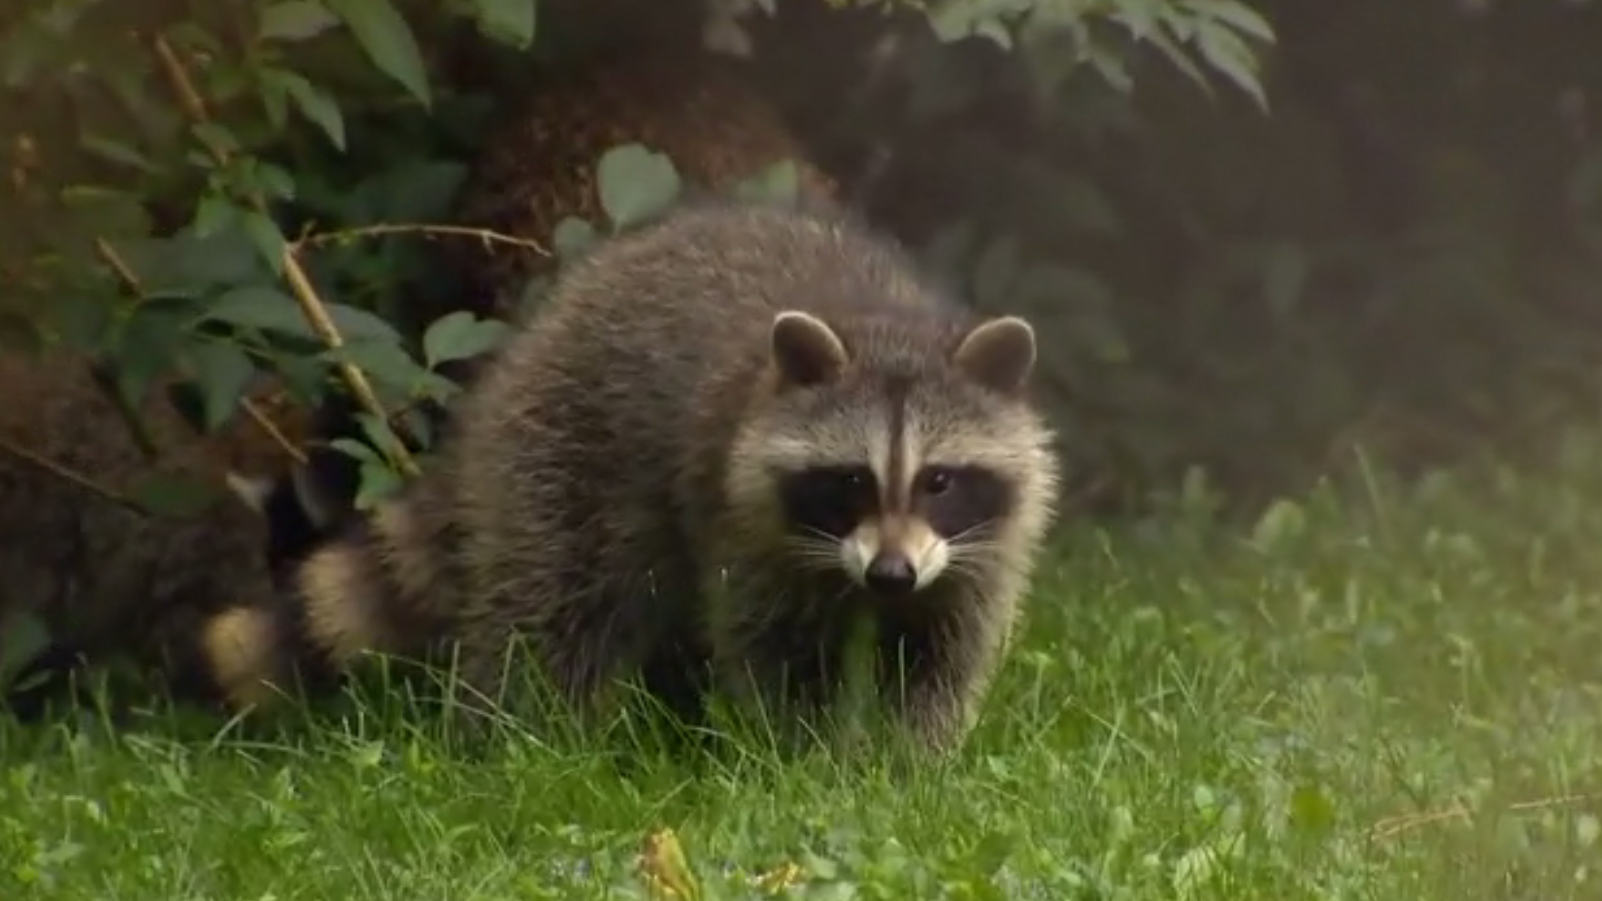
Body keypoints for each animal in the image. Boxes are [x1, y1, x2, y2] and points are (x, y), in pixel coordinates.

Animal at [203, 199, 1063, 747]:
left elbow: (944, 652)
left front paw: (911, 761)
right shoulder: (744, 514)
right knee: (551, 607)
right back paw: (511, 738)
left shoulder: (981, 545)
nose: (889, 574)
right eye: (851, 480)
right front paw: (803, 756)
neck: (888, 326)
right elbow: (774, 650)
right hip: (566, 451)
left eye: (938, 481)